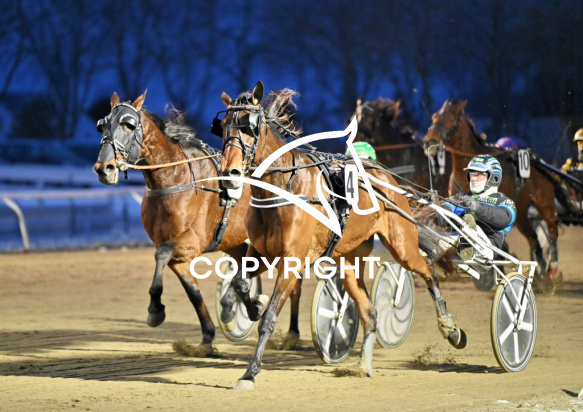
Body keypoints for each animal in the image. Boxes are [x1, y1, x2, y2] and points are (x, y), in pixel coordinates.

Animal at [93, 92, 303, 349]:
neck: (174, 179)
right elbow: (192, 290)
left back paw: (292, 333)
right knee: (242, 269)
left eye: (128, 125)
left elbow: (161, 253)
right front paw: (208, 335)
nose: (104, 168)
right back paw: (236, 308)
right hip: (236, 242)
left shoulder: (194, 241)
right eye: (102, 126)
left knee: (293, 286)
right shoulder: (179, 253)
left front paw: (155, 309)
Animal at [217, 81, 464, 390]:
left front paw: (249, 373)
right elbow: (239, 282)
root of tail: (388, 178)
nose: (229, 173)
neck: (284, 188)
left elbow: (269, 319)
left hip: (402, 245)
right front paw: (247, 307)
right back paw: (364, 364)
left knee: (429, 273)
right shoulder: (262, 252)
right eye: (223, 125)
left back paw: (451, 329)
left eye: (249, 125)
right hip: (347, 261)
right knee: (370, 313)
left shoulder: (291, 261)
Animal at [423, 100, 562, 290]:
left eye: (451, 118)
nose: (430, 141)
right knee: (533, 238)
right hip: (522, 213)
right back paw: (542, 277)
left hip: (544, 203)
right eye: (434, 116)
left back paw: (552, 269)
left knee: (552, 231)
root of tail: (539, 163)